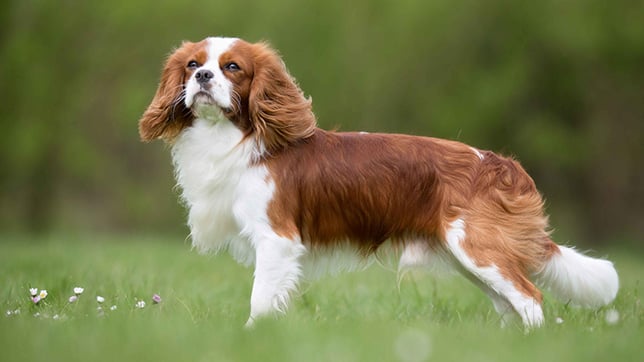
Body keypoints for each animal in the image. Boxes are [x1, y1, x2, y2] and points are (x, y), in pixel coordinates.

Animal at [140, 36, 620, 328]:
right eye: (192, 64)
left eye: (233, 67)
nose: (203, 77)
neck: (233, 138)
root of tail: (503, 165)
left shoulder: (276, 240)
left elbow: (260, 300)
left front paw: (252, 335)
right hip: (470, 258)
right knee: (509, 304)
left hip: (478, 248)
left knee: (530, 297)